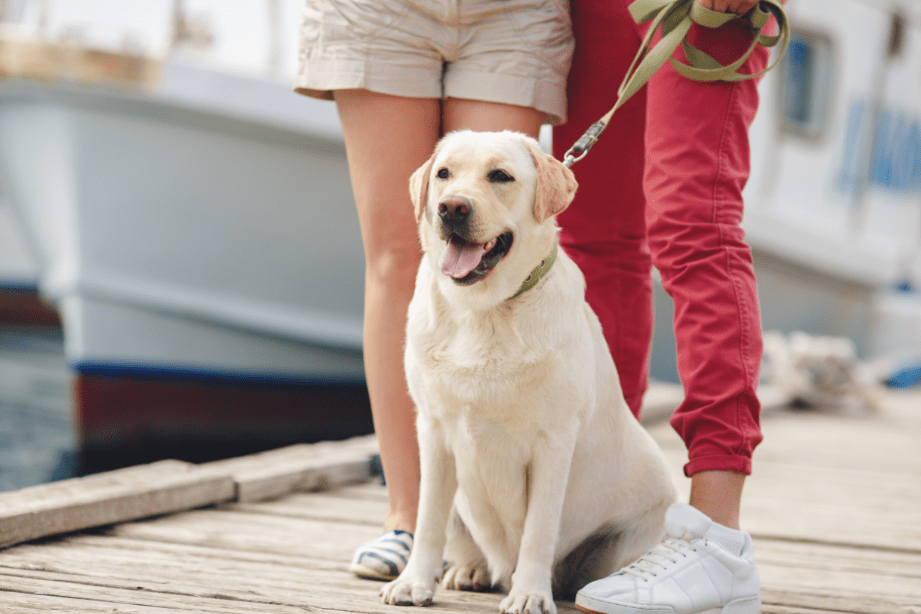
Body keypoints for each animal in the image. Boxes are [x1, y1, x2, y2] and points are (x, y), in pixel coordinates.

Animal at [380, 132, 676, 614]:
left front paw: (530, 594)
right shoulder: (435, 431)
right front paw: (413, 582)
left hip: (643, 525)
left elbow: (539, 530)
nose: (451, 207)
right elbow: (427, 522)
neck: (483, 310)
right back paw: (473, 570)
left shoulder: (553, 442)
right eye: (444, 174)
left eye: (500, 176)